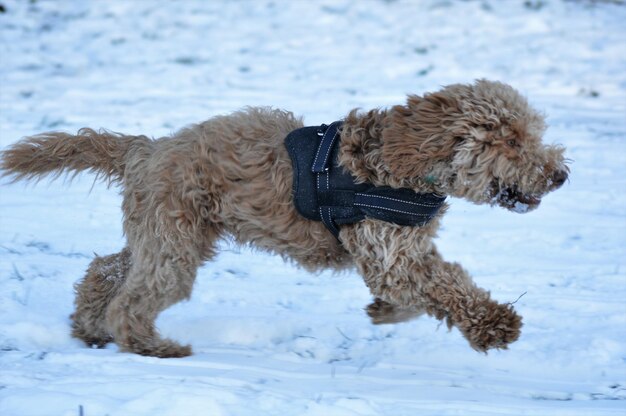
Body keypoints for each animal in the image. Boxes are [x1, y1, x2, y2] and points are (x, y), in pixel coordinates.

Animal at [0, 80, 564, 358]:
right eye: (511, 140)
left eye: (529, 134)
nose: (560, 174)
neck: (401, 161)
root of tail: (148, 149)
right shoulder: (392, 256)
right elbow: (449, 287)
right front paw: (496, 324)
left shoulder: (405, 249)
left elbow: (433, 285)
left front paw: (385, 312)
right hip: (173, 244)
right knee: (132, 299)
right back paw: (151, 346)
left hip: (165, 235)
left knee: (106, 271)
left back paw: (89, 328)